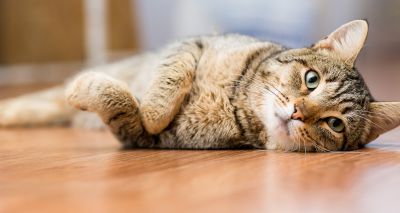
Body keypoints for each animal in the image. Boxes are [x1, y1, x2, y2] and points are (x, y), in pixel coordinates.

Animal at [0, 19, 398, 151]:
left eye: (334, 124)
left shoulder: (144, 138)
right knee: (35, 102)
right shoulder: (192, 44)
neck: (236, 98)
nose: (298, 112)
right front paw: (155, 107)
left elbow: (124, 106)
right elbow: (172, 77)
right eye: (311, 80)